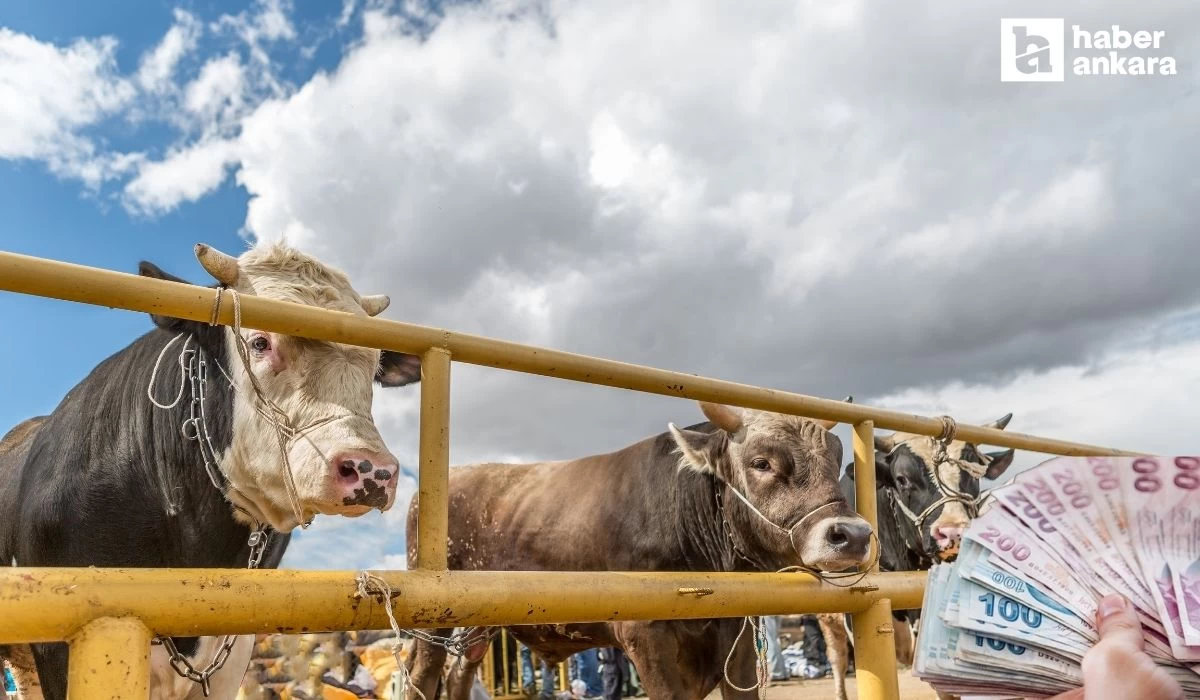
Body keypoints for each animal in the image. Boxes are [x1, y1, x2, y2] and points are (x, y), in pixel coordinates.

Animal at [403, 401, 873, 700]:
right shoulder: (645, 635)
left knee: (459, 675)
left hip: (478, 625)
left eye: (835, 460)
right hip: (431, 620)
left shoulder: (735, 637)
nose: (853, 535)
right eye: (762, 463)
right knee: (422, 675)